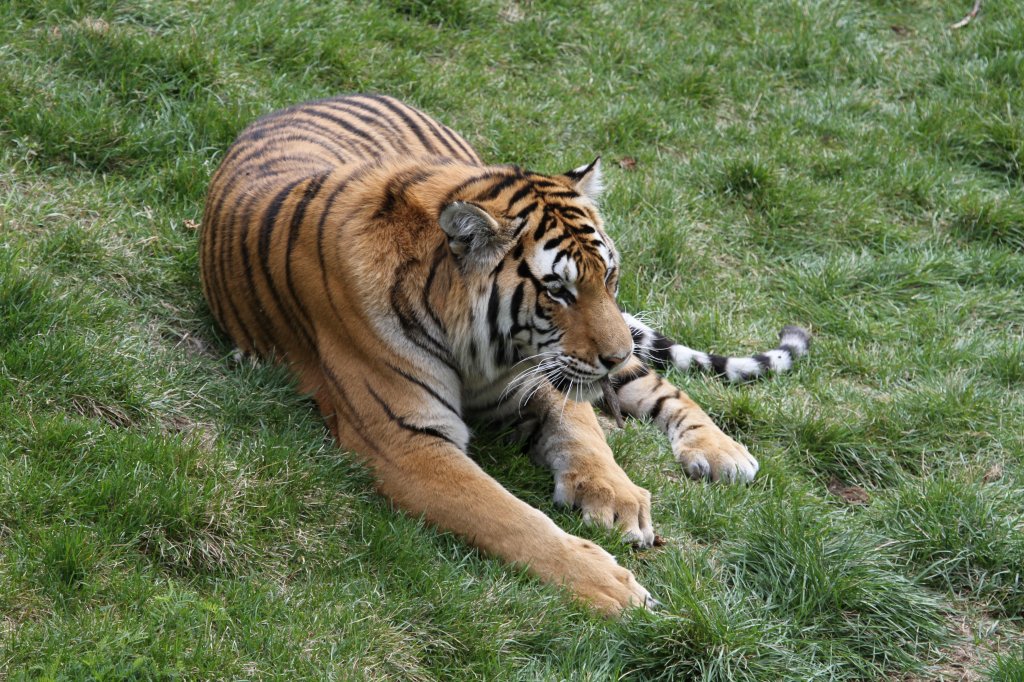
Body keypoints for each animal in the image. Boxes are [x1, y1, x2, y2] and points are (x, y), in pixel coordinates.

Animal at [197, 94, 806, 610]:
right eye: (558, 291)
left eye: (608, 276)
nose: (611, 355)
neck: (484, 351)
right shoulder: (405, 441)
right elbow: (510, 517)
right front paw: (608, 584)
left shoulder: (545, 375)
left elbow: (583, 435)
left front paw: (620, 497)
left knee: (663, 388)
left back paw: (721, 450)